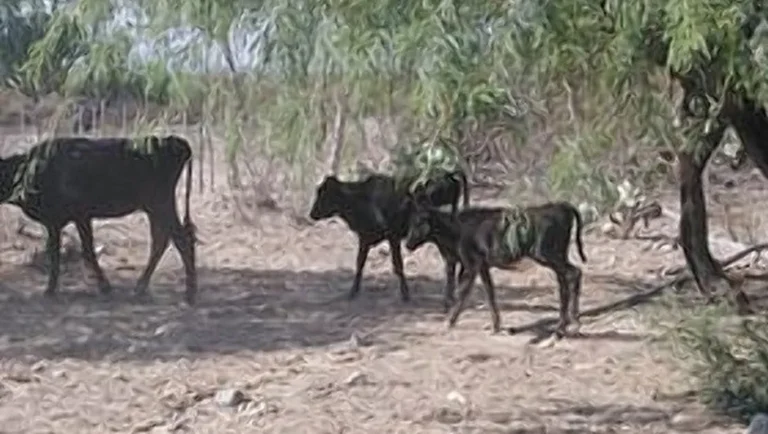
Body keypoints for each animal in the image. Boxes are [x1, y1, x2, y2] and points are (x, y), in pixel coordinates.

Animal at [0, 134, 196, 304]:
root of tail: (172, 140)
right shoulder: (80, 217)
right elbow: (84, 249)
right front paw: (103, 286)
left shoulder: (59, 219)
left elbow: (63, 251)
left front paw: (50, 290)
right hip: (154, 208)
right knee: (161, 240)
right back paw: (141, 288)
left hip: (161, 204)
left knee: (180, 239)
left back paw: (189, 294)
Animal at [402, 202, 588, 338]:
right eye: (411, 222)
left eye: (419, 222)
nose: (408, 244)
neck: (457, 229)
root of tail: (561, 206)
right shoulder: (482, 267)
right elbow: (490, 293)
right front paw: (496, 325)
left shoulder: (471, 266)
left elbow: (463, 292)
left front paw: (449, 321)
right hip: (557, 257)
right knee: (567, 280)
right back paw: (566, 323)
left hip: (548, 255)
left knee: (572, 275)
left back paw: (568, 324)